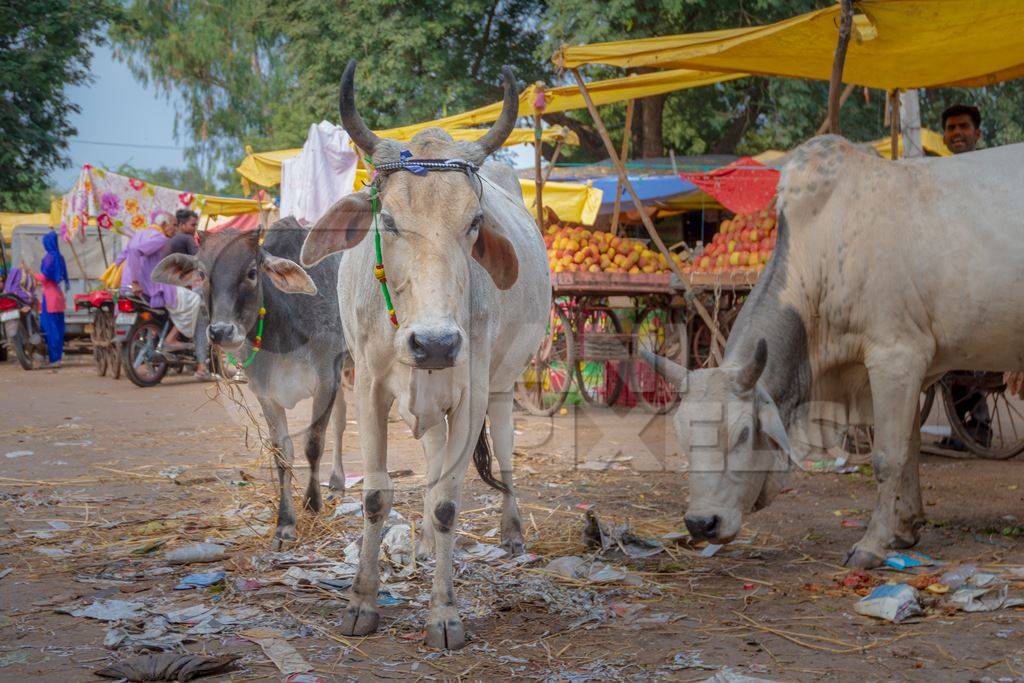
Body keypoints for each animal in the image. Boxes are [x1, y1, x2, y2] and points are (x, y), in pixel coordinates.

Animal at [299, 61, 548, 651]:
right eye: (388, 220)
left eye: (475, 221)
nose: (435, 343)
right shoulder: (368, 389)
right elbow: (376, 497)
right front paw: (362, 602)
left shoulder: (471, 394)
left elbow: (447, 504)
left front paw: (444, 613)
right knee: (434, 463)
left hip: (502, 384)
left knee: (502, 452)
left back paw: (511, 531)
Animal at [647, 136, 1024, 569]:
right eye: (680, 434)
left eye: (742, 434)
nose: (701, 523)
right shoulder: (914, 369)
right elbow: (910, 450)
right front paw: (905, 529)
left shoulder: (896, 357)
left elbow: (888, 457)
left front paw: (872, 545)